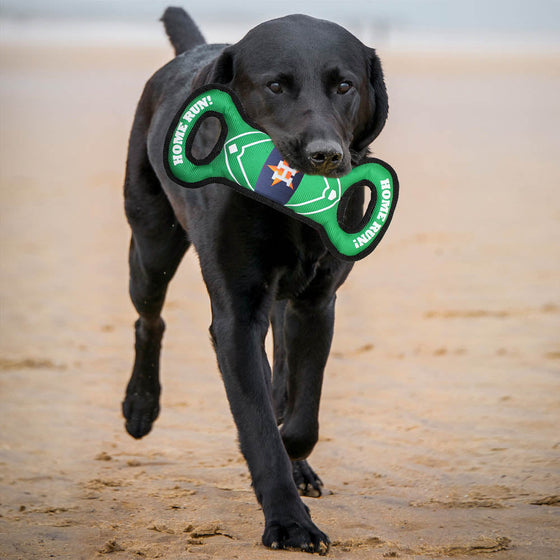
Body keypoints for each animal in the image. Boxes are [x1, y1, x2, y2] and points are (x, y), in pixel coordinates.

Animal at [122, 6, 388, 552]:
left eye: (345, 86)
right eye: (276, 86)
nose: (326, 155)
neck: (290, 213)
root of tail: (195, 51)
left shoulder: (316, 304)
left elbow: (301, 414)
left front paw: (295, 458)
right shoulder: (237, 317)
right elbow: (259, 423)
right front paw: (289, 522)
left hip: (283, 303)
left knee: (282, 374)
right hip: (152, 244)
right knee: (149, 319)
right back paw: (140, 404)